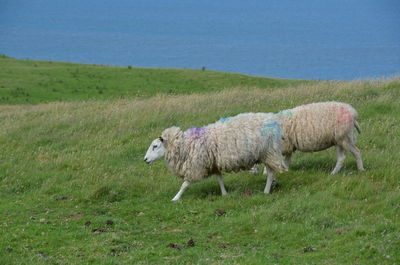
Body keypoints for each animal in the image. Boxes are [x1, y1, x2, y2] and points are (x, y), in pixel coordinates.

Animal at [144, 112, 288, 200]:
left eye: (155, 146)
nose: (145, 160)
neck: (187, 144)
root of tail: (274, 121)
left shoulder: (196, 166)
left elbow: (184, 184)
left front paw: (175, 198)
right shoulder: (212, 163)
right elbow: (219, 179)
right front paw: (224, 193)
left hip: (269, 152)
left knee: (271, 173)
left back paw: (266, 191)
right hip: (266, 154)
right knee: (271, 171)